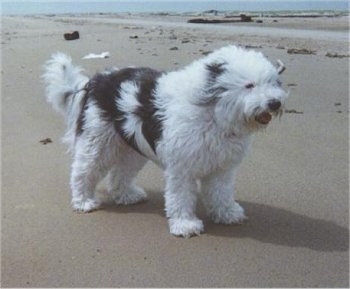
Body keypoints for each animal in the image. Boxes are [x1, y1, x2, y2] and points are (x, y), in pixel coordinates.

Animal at [42, 45, 288, 236]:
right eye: (249, 85)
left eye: (272, 82)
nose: (275, 103)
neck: (213, 113)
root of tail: (96, 81)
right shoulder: (182, 168)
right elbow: (180, 196)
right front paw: (185, 225)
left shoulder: (222, 168)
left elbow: (221, 192)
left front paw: (227, 213)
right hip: (98, 142)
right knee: (82, 172)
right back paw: (83, 201)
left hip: (132, 148)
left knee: (119, 174)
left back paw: (127, 195)